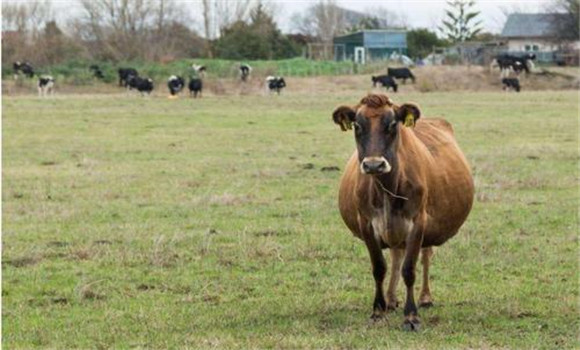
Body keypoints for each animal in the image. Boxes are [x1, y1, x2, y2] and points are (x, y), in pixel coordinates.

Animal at [334, 93, 474, 330]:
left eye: (392, 124)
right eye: (357, 125)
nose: (374, 165)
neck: (386, 188)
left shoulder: (417, 222)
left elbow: (409, 269)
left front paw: (411, 316)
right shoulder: (367, 224)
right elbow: (379, 267)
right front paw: (378, 310)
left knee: (425, 255)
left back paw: (425, 297)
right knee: (396, 254)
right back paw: (391, 300)